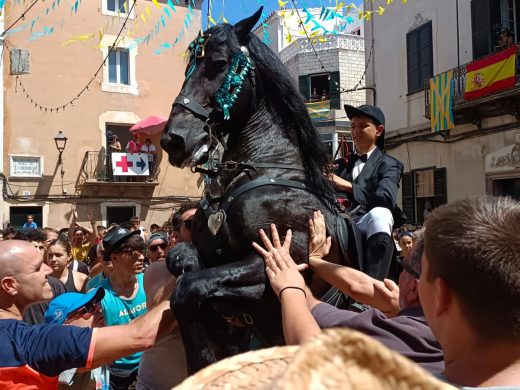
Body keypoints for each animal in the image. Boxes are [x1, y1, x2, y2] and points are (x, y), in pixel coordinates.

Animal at [160, 7, 360, 374]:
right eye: (188, 69)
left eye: (219, 63)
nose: (174, 139)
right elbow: (182, 262)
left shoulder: (271, 265)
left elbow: (188, 289)